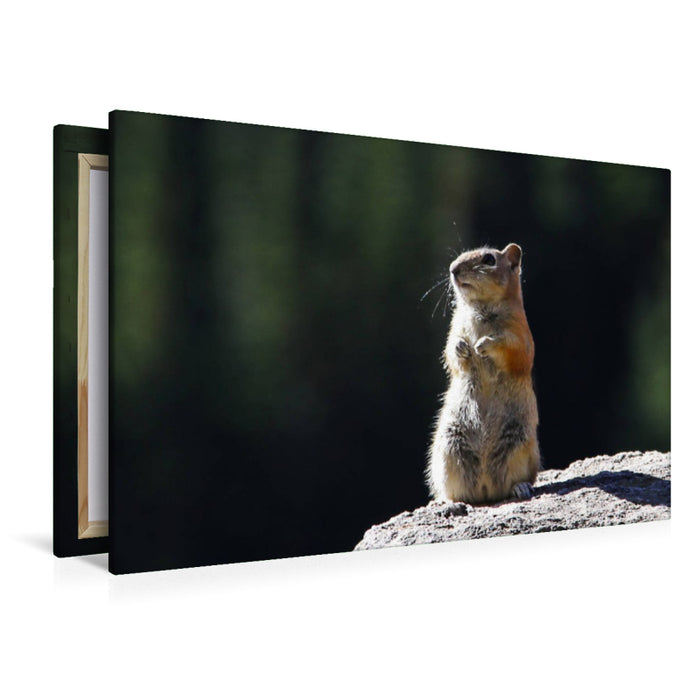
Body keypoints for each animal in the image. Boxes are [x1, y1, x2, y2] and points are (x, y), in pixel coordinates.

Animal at [427, 243, 540, 505]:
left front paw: (483, 344)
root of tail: (486, 489)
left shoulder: (521, 336)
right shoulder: (454, 328)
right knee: (457, 491)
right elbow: (450, 352)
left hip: (519, 445)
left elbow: (511, 349)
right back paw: (450, 501)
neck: (479, 308)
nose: (453, 269)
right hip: (449, 448)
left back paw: (520, 488)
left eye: (489, 259)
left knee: (515, 481)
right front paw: (462, 347)